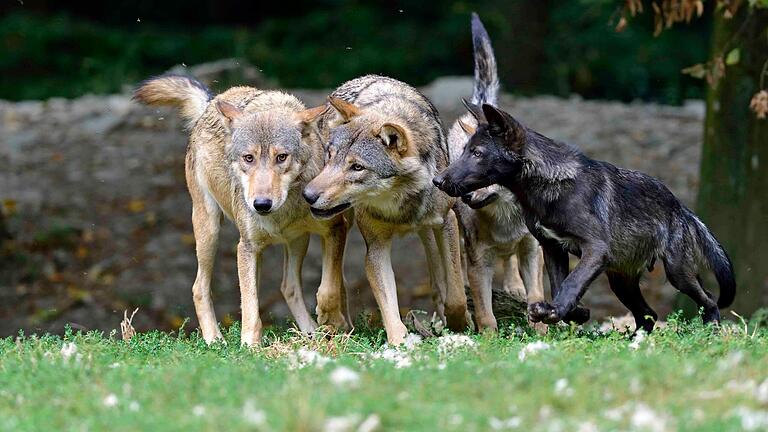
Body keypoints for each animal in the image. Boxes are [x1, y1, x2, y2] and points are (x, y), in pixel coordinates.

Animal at [134, 73, 352, 344]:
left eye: (281, 157)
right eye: (249, 158)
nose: (261, 204)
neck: (284, 211)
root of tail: (212, 101)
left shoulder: (336, 228)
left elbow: (329, 288)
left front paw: (333, 321)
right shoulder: (247, 247)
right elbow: (250, 308)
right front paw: (250, 345)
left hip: (297, 242)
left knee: (287, 287)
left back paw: (310, 333)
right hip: (210, 232)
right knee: (199, 288)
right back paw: (214, 340)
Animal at [304, 74, 468, 344]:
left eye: (357, 167)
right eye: (331, 156)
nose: (308, 195)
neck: (399, 202)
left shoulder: (447, 221)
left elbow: (456, 295)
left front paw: (458, 324)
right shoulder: (376, 246)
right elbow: (389, 307)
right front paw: (400, 342)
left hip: (428, 230)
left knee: (438, 279)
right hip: (341, 221)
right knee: (336, 276)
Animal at [436, 103, 736, 332]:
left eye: (477, 153)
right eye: (464, 151)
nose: (438, 181)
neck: (547, 189)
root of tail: (681, 207)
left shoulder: (595, 249)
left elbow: (572, 283)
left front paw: (556, 310)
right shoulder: (553, 249)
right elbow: (560, 286)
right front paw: (573, 313)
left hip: (676, 272)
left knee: (709, 300)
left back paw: (710, 331)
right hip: (621, 282)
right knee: (648, 315)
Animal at [448, 12, 548, 330]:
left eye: (483, 163)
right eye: (464, 158)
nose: (465, 197)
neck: (505, 219)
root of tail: (478, 108)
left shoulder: (533, 248)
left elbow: (537, 295)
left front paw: (541, 329)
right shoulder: (479, 262)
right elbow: (485, 314)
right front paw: (488, 338)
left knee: (511, 261)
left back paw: (514, 285)